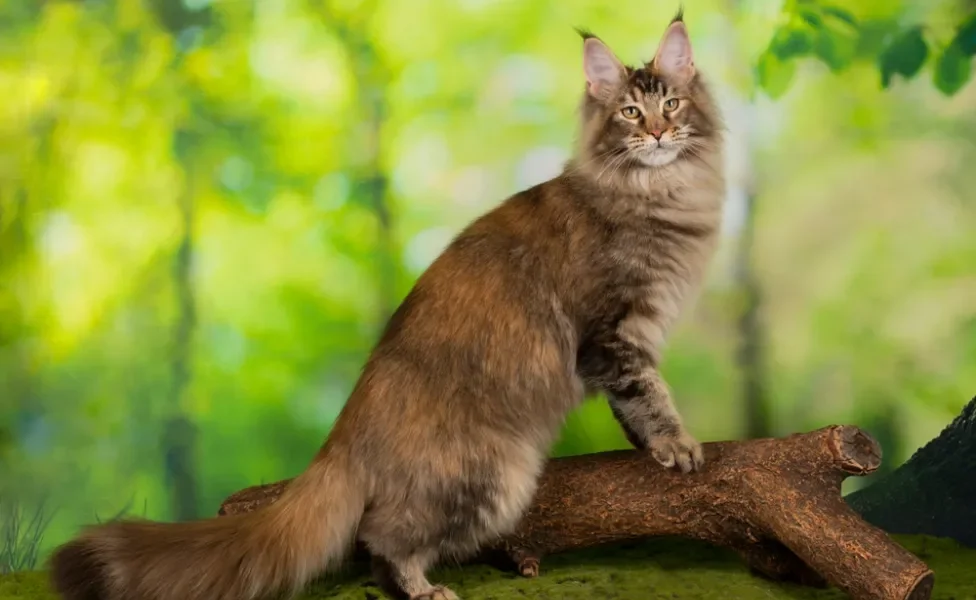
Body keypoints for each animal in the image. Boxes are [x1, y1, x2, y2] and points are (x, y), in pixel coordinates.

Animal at [51, 11, 724, 600]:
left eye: (672, 105)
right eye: (630, 112)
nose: (657, 133)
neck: (660, 192)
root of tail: (344, 434)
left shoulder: (627, 334)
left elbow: (629, 406)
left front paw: (648, 448)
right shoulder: (611, 332)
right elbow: (646, 394)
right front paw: (677, 443)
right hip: (492, 476)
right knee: (381, 539)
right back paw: (421, 588)